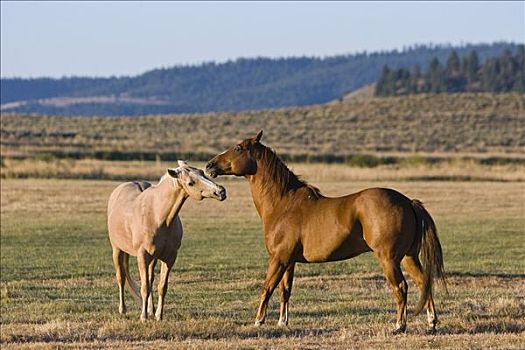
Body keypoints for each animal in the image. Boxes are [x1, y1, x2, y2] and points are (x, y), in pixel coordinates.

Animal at [108, 161, 225, 320]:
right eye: (190, 182)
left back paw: (151, 309)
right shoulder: (142, 255)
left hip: (152, 258)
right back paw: (123, 309)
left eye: (202, 173)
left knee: (150, 279)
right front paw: (143, 317)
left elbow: (161, 286)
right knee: (121, 277)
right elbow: (144, 287)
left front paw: (158, 315)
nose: (221, 191)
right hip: (117, 250)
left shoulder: (169, 257)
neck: (157, 215)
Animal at [207, 131, 444, 334]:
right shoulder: (289, 261)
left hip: (389, 259)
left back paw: (399, 326)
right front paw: (282, 322)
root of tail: (408, 202)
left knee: (401, 287)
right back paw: (431, 323)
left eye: (238, 148)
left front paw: (258, 321)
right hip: (408, 257)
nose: (210, 166)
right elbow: (285, 291)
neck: (283, 203)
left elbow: (267, 288)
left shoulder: (279, 258)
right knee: (423, 282)